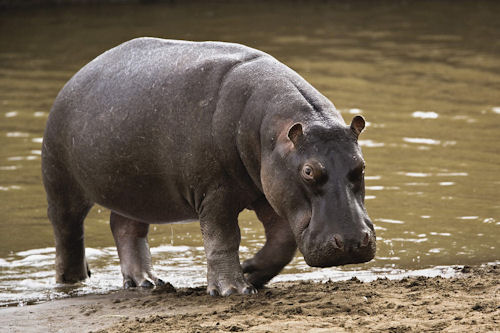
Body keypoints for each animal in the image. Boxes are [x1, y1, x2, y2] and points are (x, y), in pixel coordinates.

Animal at [41, 37, 374, 294]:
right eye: (308, 171)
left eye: (361, 166)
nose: (352, 241)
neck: (273, 131)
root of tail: (76, 77)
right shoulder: (215, 193)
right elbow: (223, 239)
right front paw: (233, 290)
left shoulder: (269, 191)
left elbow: (282, 242)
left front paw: (251, 271)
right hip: (61, 183)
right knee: (67, 234)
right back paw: (72, 282)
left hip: (136, 190)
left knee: (125, 227)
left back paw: (146, 282)